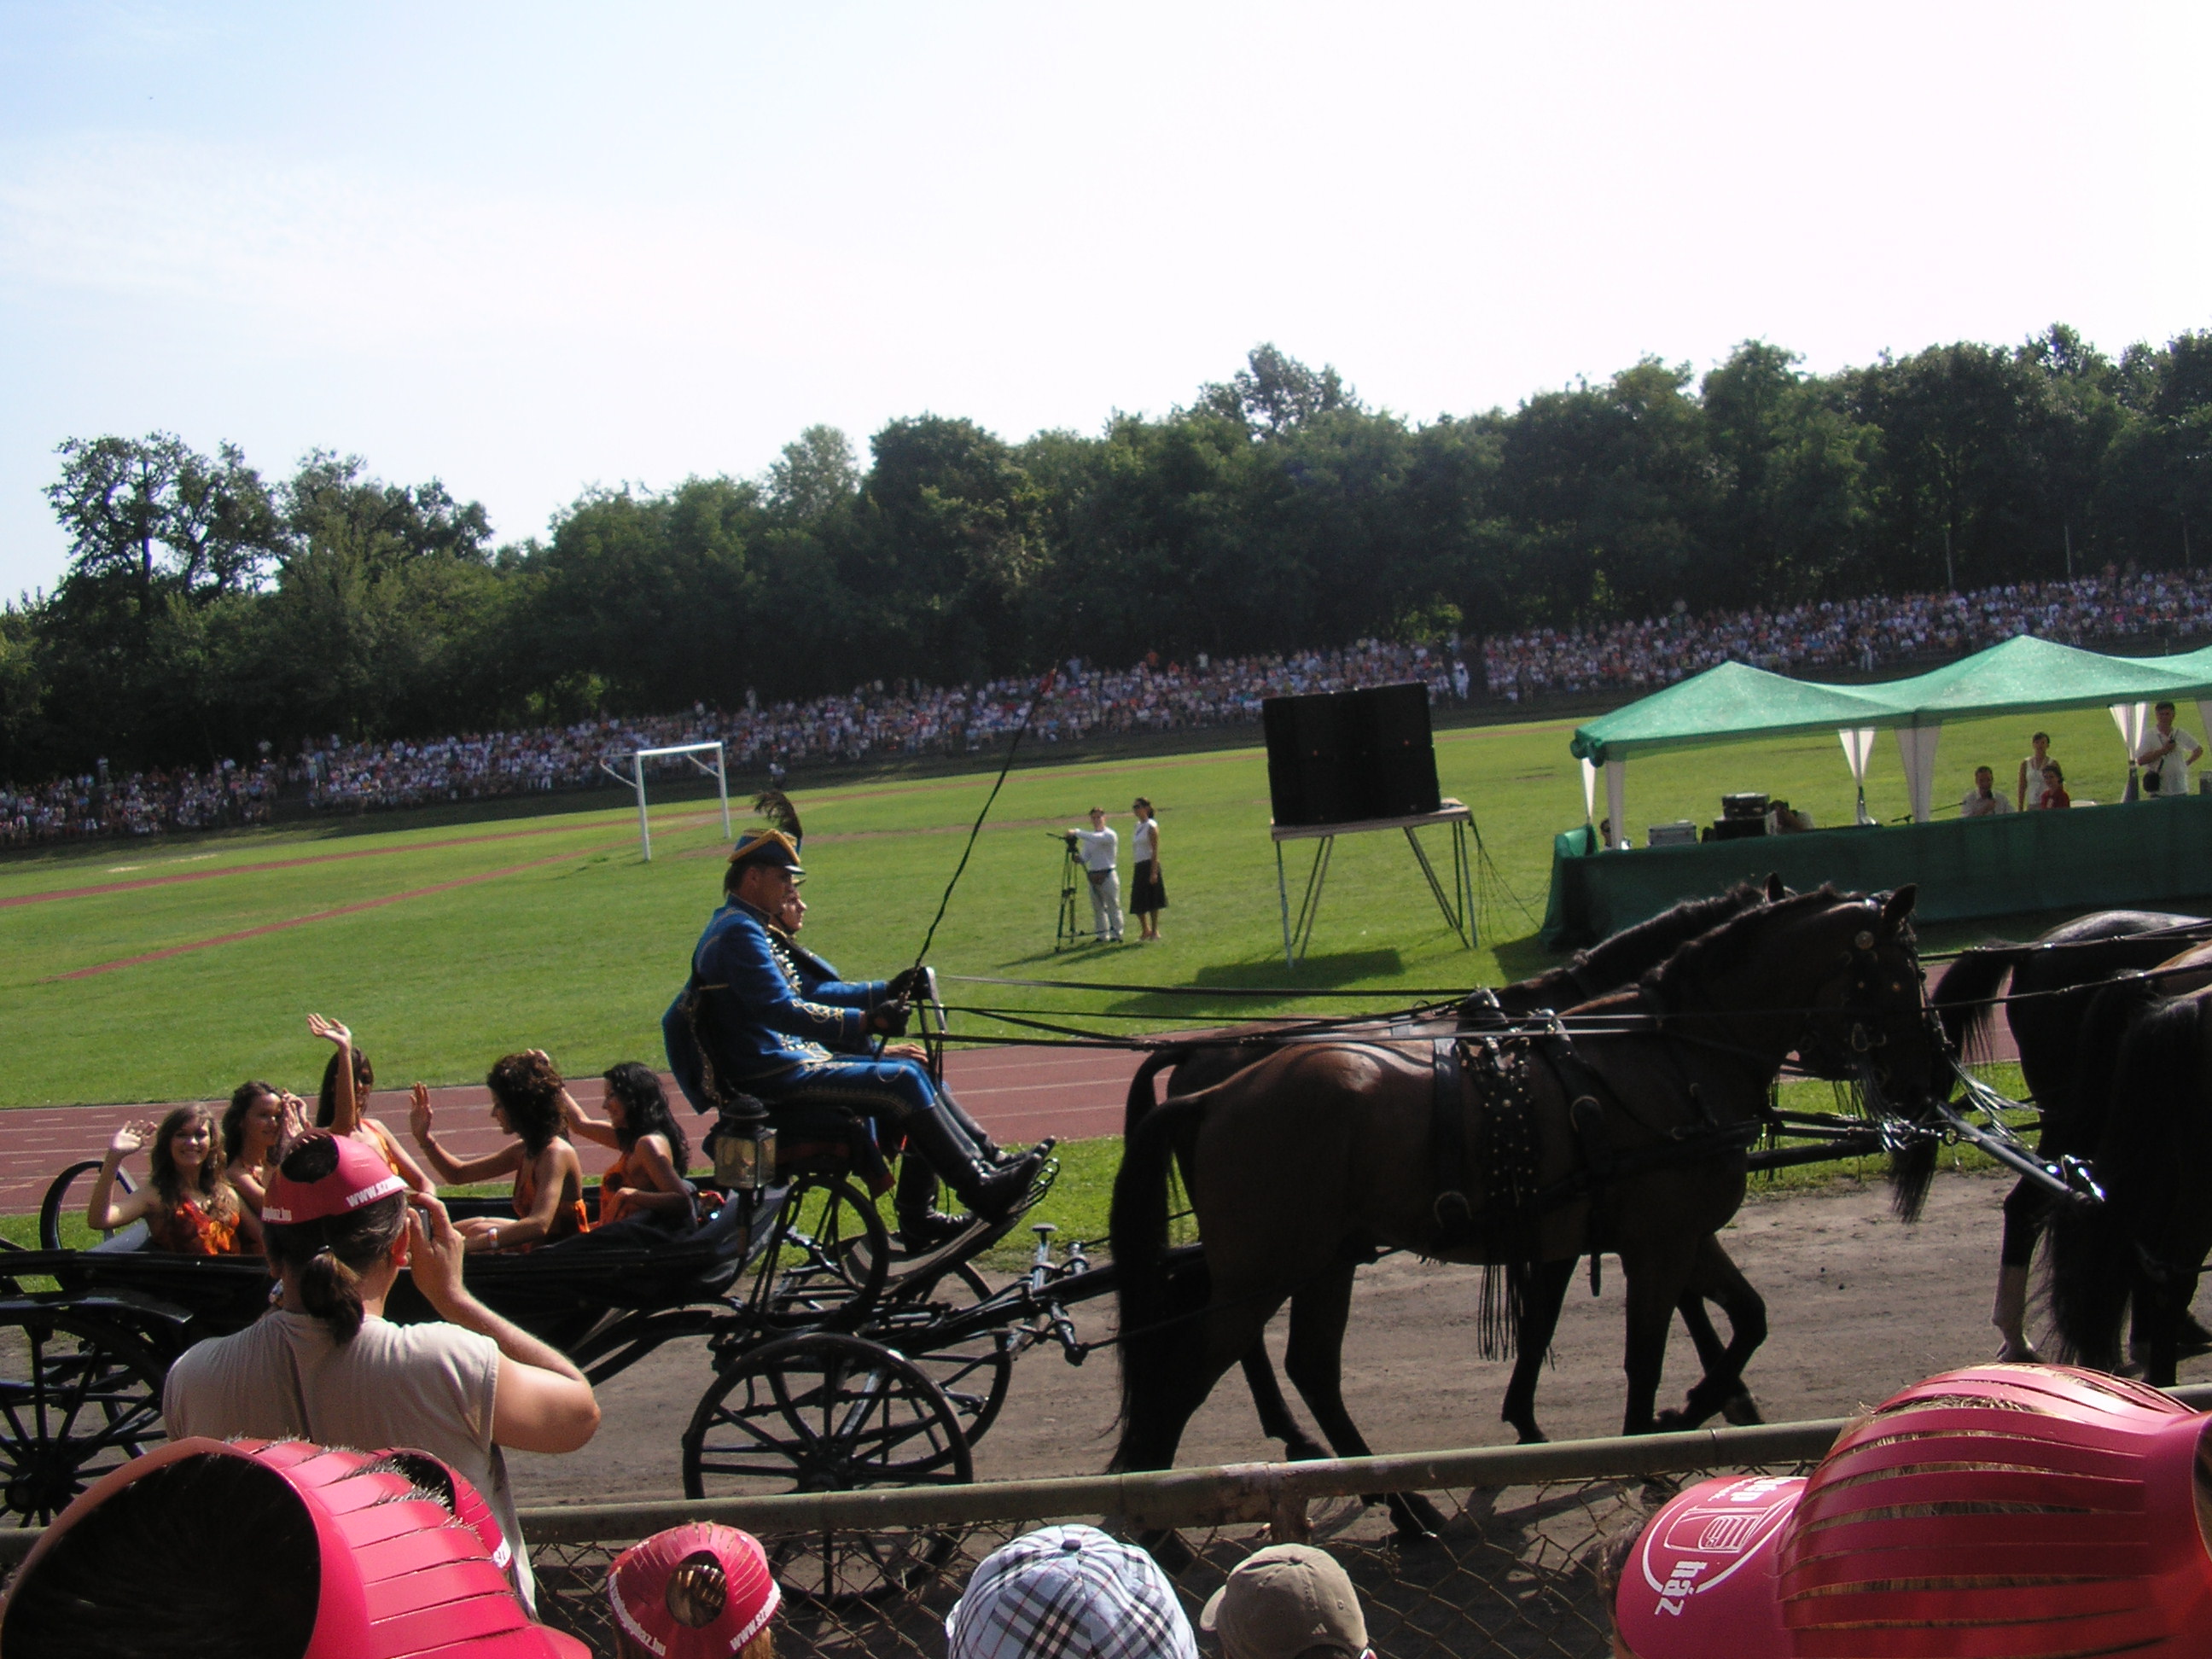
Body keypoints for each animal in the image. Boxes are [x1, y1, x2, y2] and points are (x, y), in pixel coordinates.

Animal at [1108, 886, 1939, 1484]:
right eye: (1905, 977)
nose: (1925, 1073)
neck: (1669, 1051)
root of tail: (1212, 1087)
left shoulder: (1649, 1233)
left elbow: (1742, 1317)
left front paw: (1698, 1404)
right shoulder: (1656, 1239)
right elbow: (1644, 1347)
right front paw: (1651, 1440)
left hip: (1315, 1261)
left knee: (1293, 1361)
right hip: (1272, 1262)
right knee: (1203, 1364)